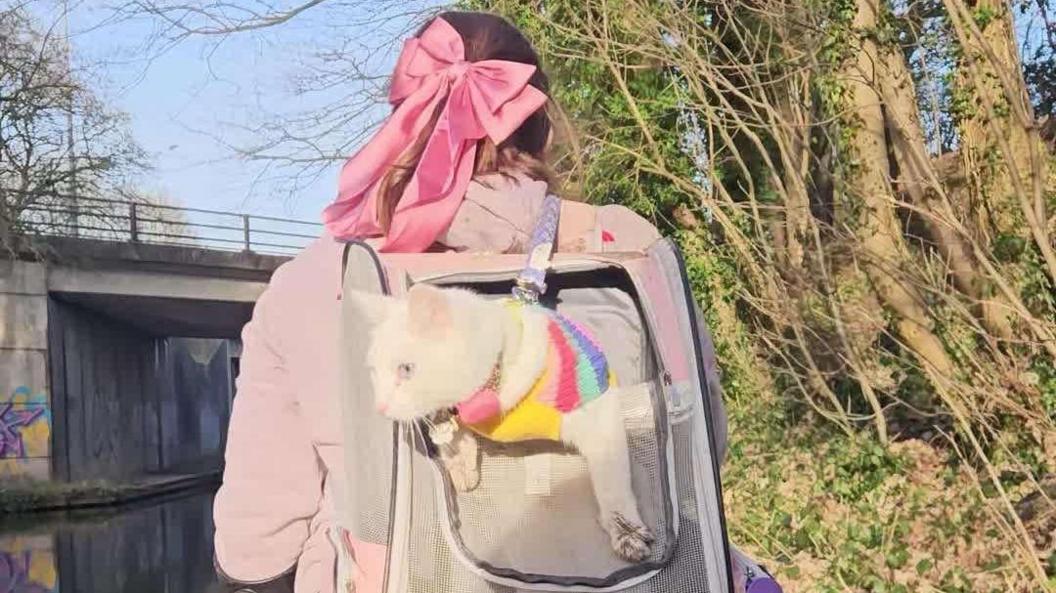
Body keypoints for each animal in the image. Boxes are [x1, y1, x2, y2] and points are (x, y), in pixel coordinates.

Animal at [352, 284, 650, 561]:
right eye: (373, 371)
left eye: (406, 369)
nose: (379, 407)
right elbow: (457, 438)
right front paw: (460, 466)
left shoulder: (599, 412)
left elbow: (612, 478)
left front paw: (626, 530)